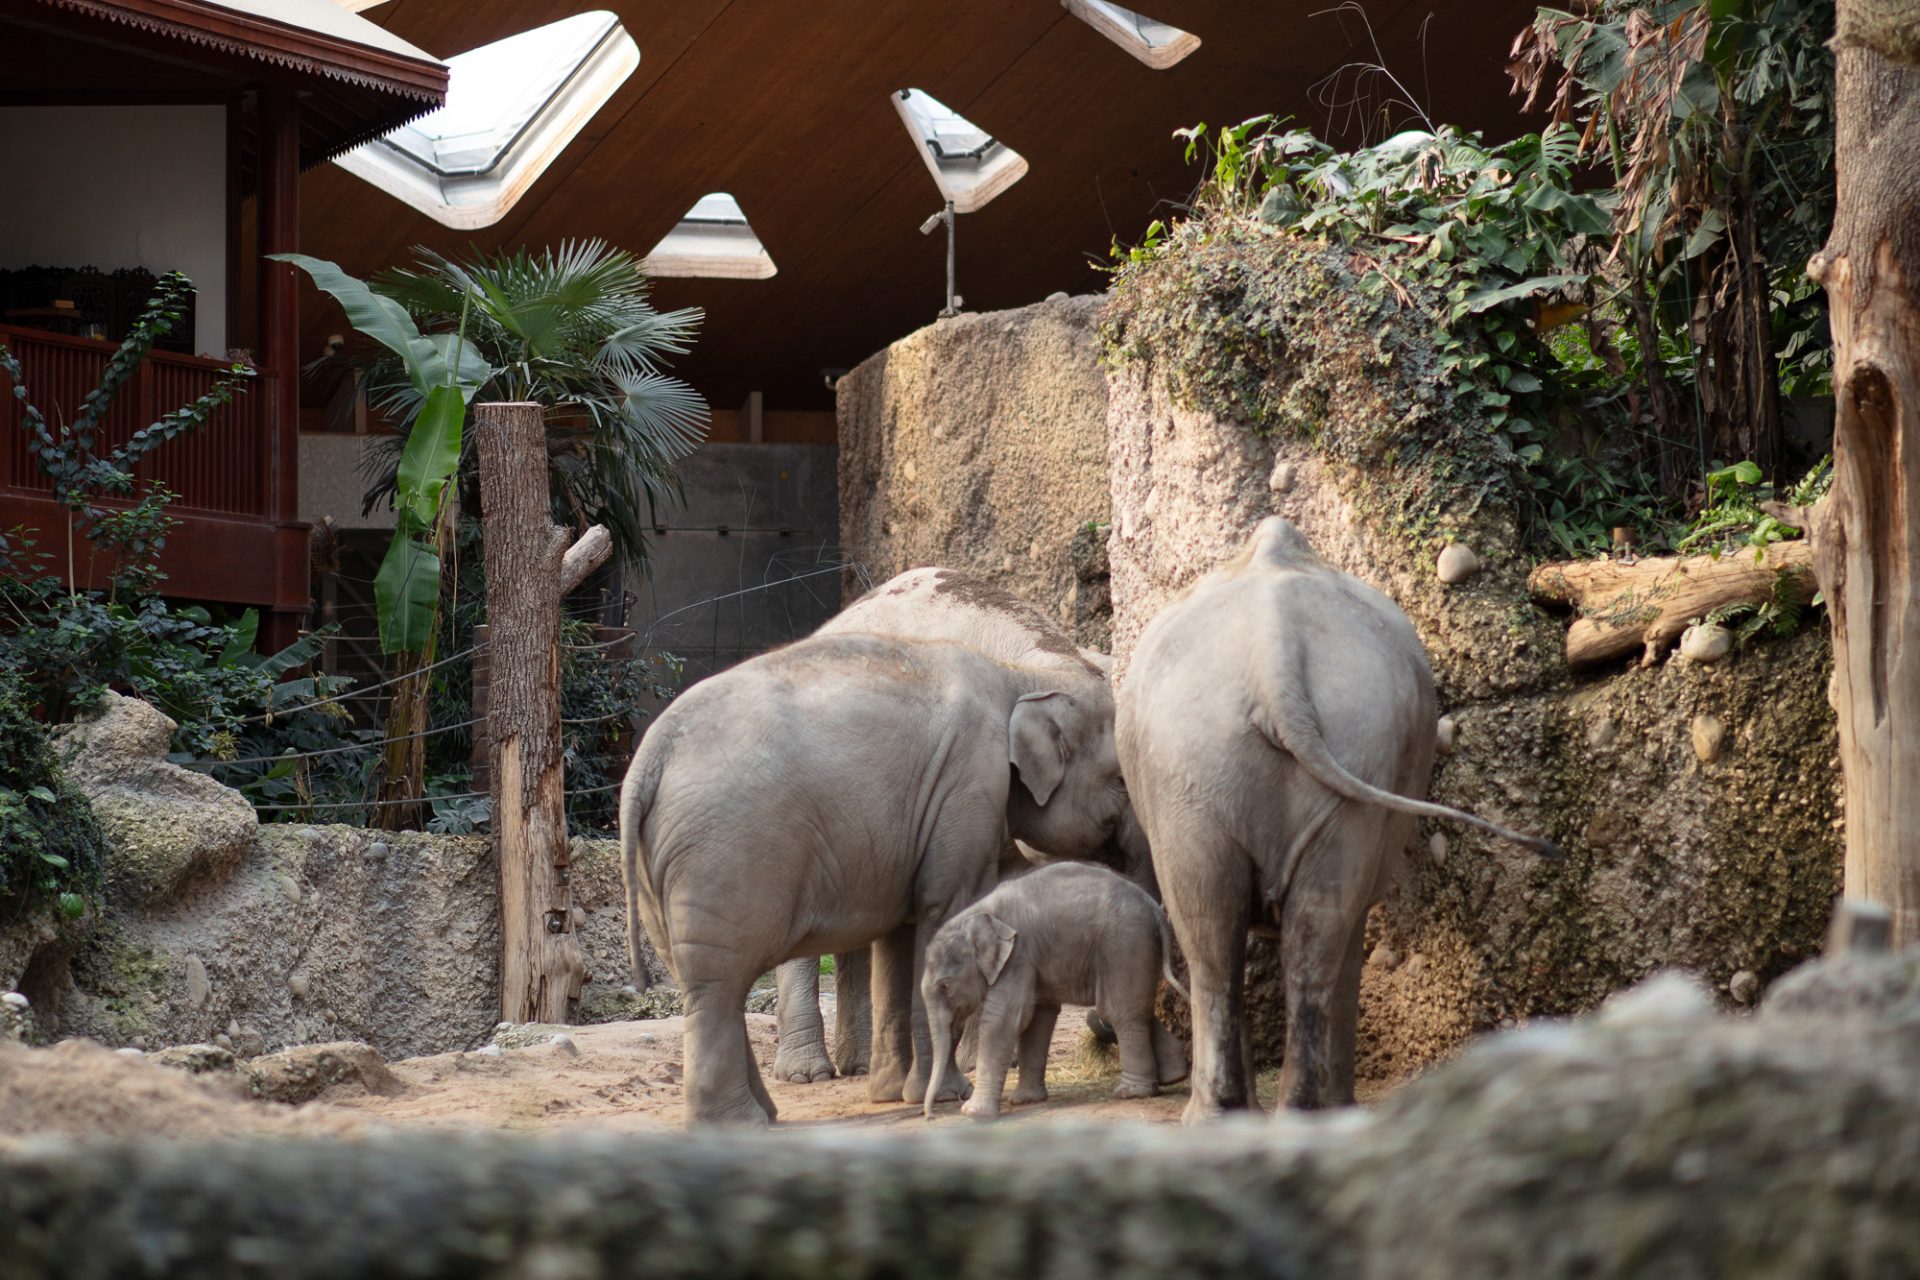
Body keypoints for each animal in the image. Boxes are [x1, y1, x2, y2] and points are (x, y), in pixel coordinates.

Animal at [621, 630, 1137, 1126]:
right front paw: (948, 1095)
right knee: (718, 984)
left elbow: (899, 936)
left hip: (660, 874)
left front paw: (891, 1094)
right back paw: (737, 1123)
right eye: (1121, 779)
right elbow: (945, 908)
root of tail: (648, 757)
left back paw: (761, 1115)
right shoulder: (969, 784)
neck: (1021, 675)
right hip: (721, 856)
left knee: (703, 982)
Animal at [921, 861, 1189, 1120]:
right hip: (1139, 948)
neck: (979, 913)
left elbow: (1005, 1019)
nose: (930, 1117)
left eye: (945, 986)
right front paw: (1025, 1100)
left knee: (1120, 1011)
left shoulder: (1018, 957)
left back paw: (1130, 1092)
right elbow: (1038, 1018)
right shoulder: (1034, 959)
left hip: (1124, 947)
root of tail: (1156, 911)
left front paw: (973, 1113)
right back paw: (1171, 1078)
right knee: (1140, 1007)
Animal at [1115, 516, 1559, 1120]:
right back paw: (1273, 1115)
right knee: (1274, 929)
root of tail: (1273, 656)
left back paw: (1248, 1116)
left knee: (1228, 934)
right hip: (1239, 759)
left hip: (1220, 761)